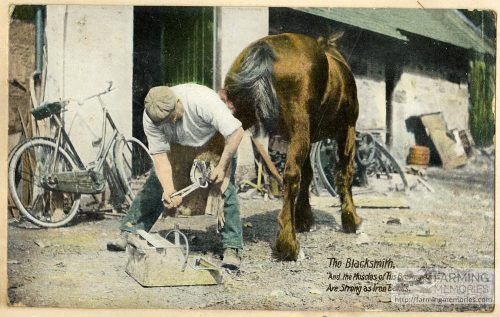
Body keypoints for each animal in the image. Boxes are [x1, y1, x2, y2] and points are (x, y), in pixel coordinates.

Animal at [225, 32, 362, 260]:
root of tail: (265, 48)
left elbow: (307, 175)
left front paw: (304, 219)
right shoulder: (348, 129)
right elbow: (344, 173)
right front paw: (351, 220)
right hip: (302, 127)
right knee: (290, 175)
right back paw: (289, 245)